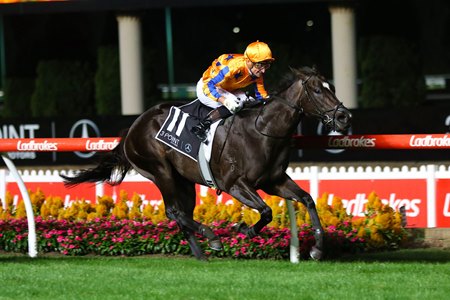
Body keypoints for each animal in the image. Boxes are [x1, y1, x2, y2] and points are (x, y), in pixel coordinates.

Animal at [61, 65, 354, 260]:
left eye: (332, 88)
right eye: (317, 90)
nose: (344, 118)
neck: (263, 130)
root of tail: (132, 128)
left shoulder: (275, 181)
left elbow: (307, 200)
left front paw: (317, 249)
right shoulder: (235, 184)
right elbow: (266, 211)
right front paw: (244, 229)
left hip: (183, 180)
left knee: (183, 213)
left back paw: (201, 254)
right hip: (160, 171)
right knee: (174, 211)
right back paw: (212, 239)